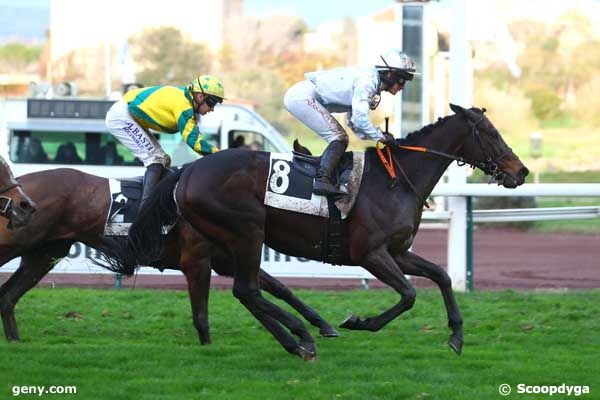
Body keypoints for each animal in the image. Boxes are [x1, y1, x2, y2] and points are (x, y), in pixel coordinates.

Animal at [0, 169, 338, 344]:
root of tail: (20, 191)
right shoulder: (197, 261)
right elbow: (201, 315)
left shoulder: (226, 260)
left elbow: (280, 288)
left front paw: (322, 324)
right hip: (16, 245)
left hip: (44, 253)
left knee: (8, 296)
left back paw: (15, 341)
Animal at [109, 103, 528, 360]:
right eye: (491, 133)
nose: (520, 171)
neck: (395, 180)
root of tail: (188, 171)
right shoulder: (370, 254)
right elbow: (409, 294)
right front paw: (361, 322)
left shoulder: (397, 252)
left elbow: (441, 276)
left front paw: (456, 335)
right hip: (247, 232)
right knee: (248, 289)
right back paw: (303, 337)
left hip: (222, 244)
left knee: (249, 291)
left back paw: (298, 337)